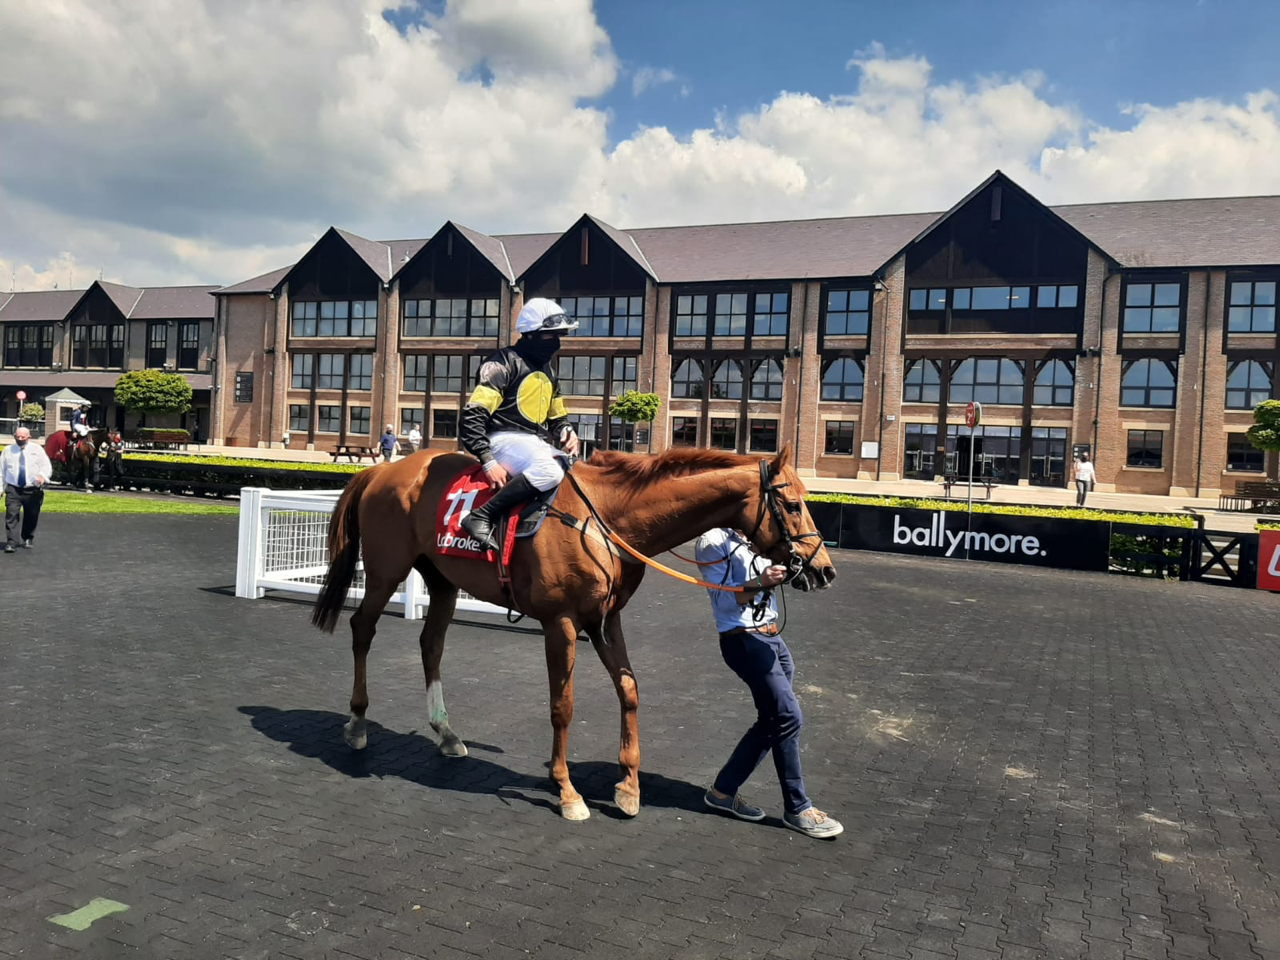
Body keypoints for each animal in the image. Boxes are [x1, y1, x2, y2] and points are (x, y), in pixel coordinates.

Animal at [304, 448, 834, 824]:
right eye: (792, 504)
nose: (823, 570)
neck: (605, 520)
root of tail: (383, 469)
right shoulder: (559, 622)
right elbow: (563, 706)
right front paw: (567, 791)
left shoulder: (606, 620)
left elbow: (630, 690)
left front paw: (628, 786)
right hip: (386, 569)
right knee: (362, 628)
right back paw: (357, 722)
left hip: (442, 578)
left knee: (431, 643)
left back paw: (446, 732)